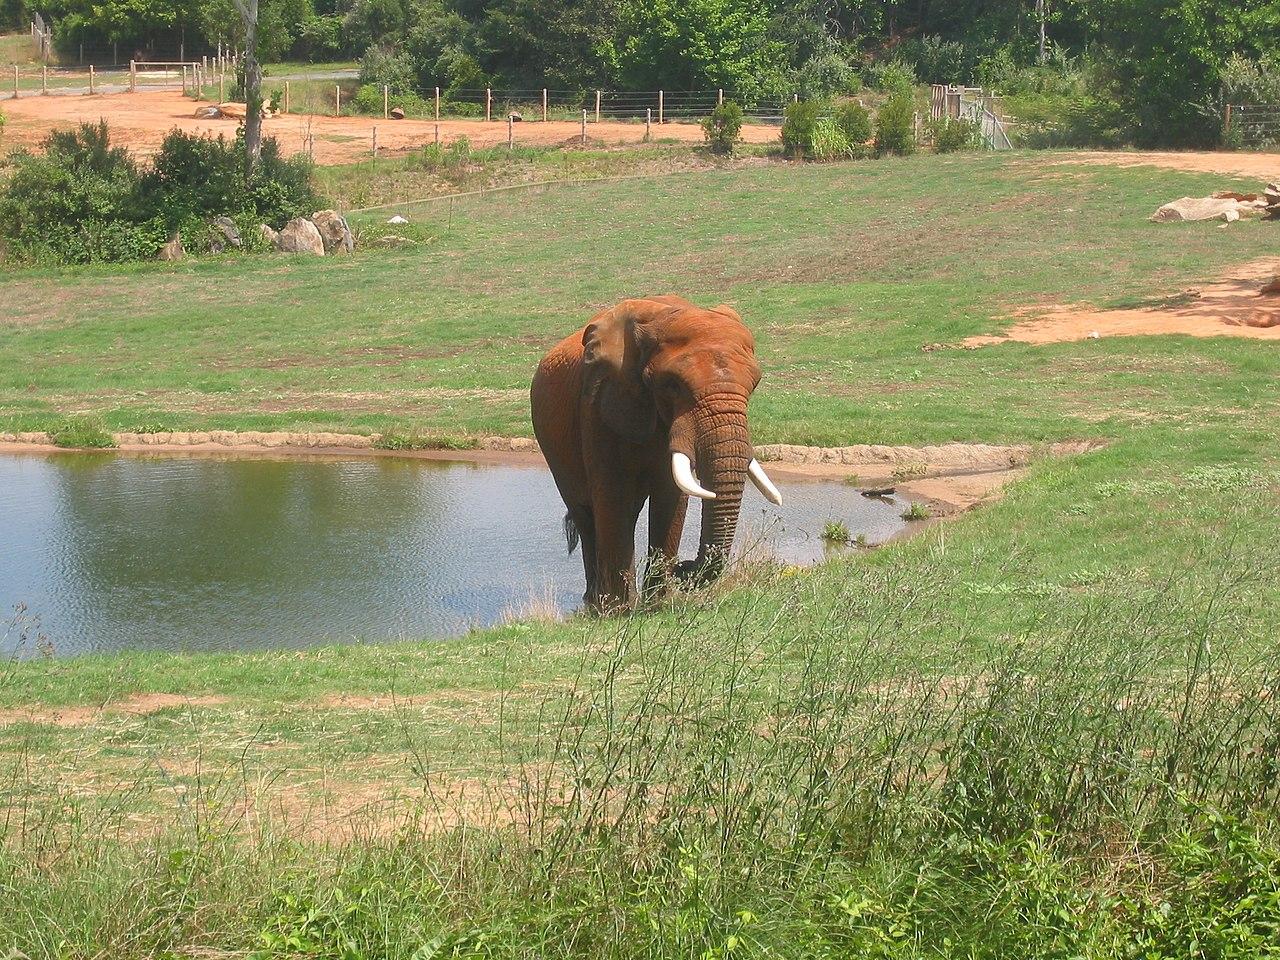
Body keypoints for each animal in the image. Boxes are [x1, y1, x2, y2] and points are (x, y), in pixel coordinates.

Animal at [527, 293, 778, 611]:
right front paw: (619, 611)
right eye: (672, 385)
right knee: (586, 515)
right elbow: (612, 492)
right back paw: (594, 604)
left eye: (754, 385)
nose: (684, 568)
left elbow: (672, 494)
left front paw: (657, 605)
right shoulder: (598, 402)